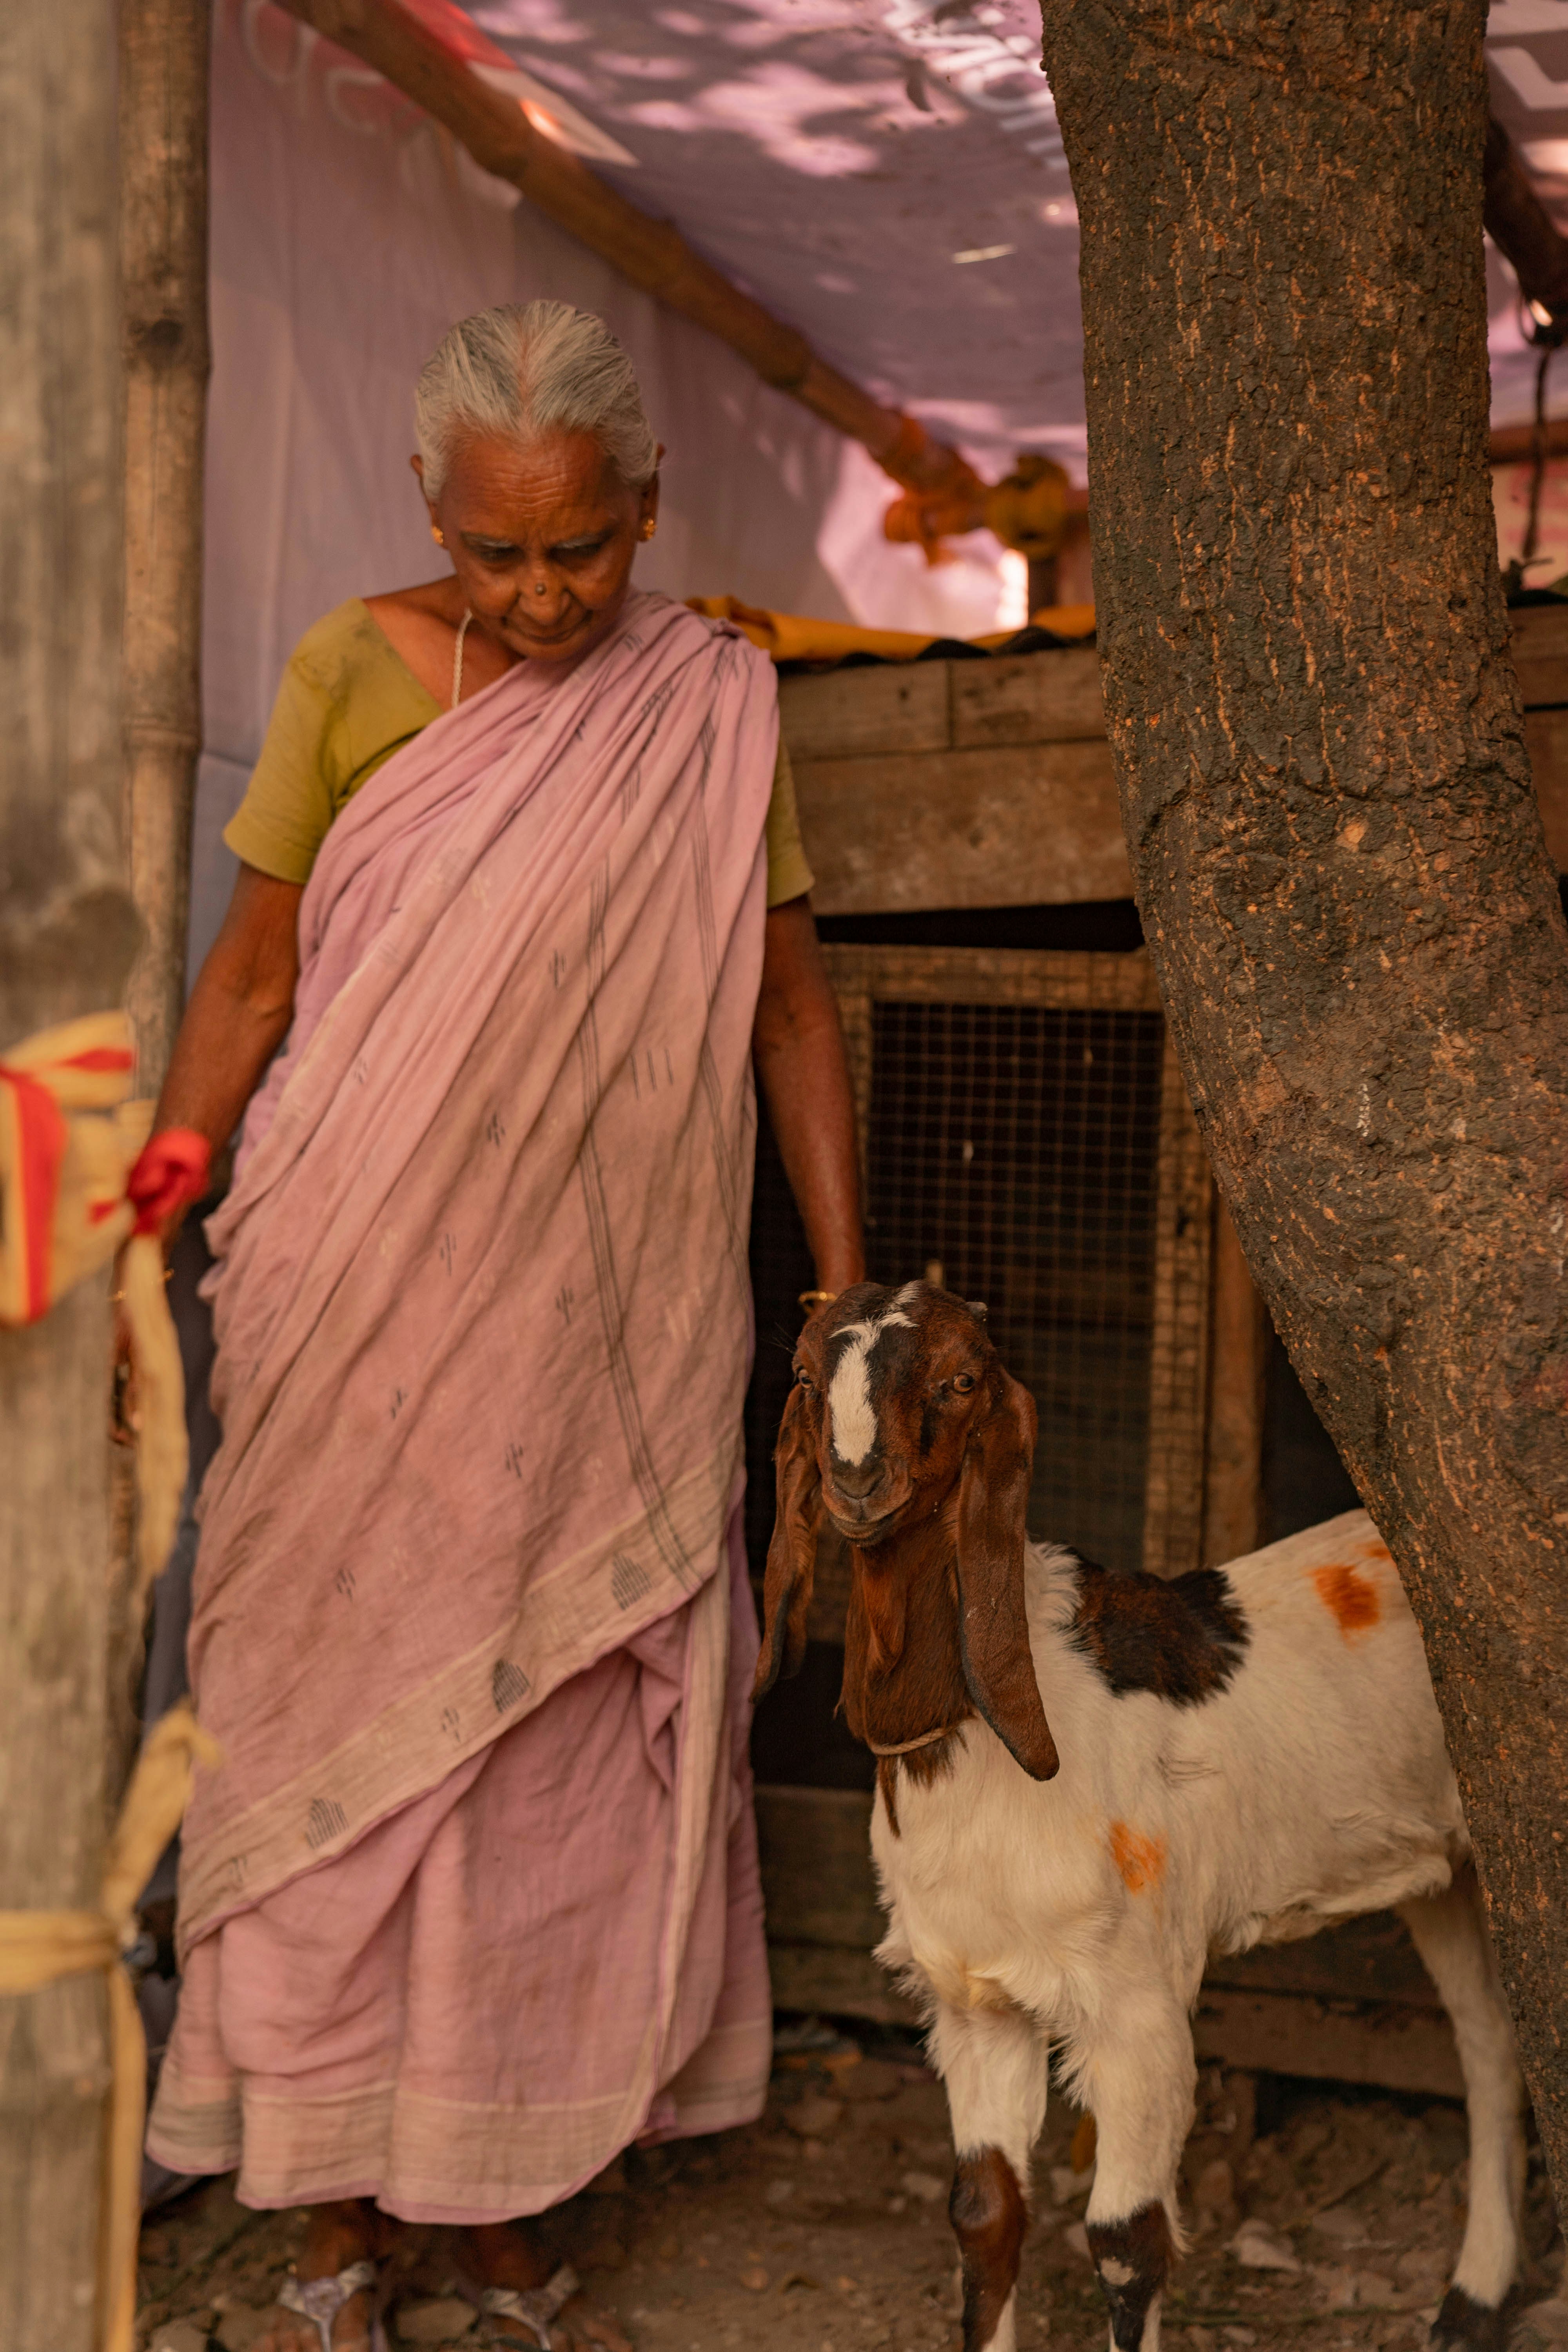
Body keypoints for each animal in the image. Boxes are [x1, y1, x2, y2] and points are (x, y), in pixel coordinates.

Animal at [755, 1281, 1526, 2352]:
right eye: (800, 1374)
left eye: (960, 1380)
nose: (858, 1482)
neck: (988, 1733)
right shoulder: (973, 2003)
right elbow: (984, 2216)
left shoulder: (1136, 2007)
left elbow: (1125, 2241)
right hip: (1448, 1871)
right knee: (1488, 2042)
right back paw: (1474, 2296)